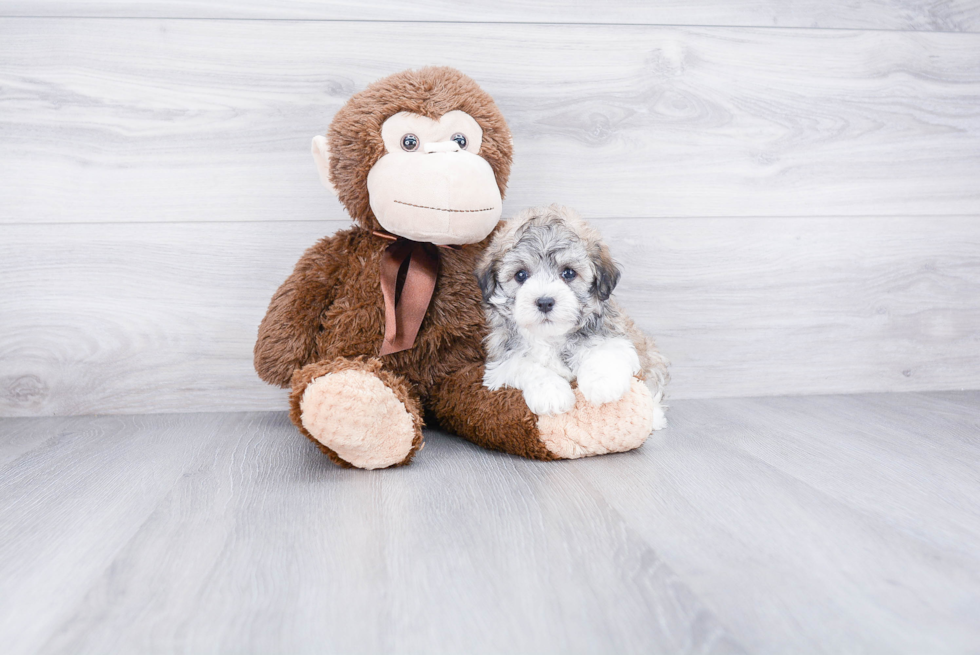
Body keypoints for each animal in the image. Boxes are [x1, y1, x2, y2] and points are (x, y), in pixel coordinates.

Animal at [474, 205, 668, 420]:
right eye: (521, 275)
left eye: (568, 273)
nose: (544, 302)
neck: (552, 337)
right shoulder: (501, 359)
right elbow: (525, 365)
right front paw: (551, 393)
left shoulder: (614, 334)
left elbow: (606, 350)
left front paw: (603, 383)